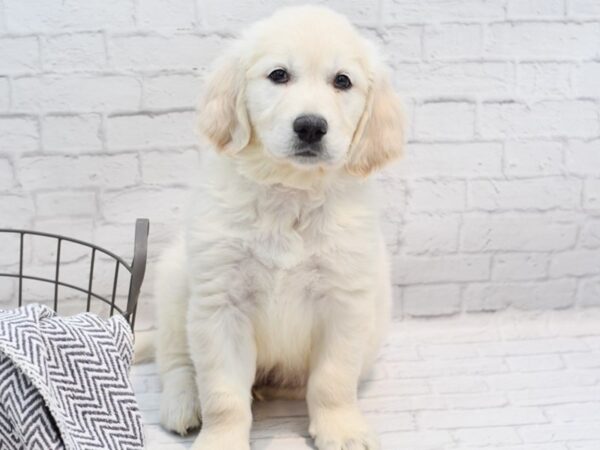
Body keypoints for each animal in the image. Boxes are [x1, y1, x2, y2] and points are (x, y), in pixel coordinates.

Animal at [152, 4, 406, 450]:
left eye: (343, 81)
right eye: (279, 75)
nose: (310, 127)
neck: (291, 195)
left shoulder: (344, 303)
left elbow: (332, 380)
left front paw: (341, 428)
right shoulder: (221, 304)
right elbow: (222, 393)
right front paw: (221, 439)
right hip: (173, 283)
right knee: (176, 362)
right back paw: (183, 404)